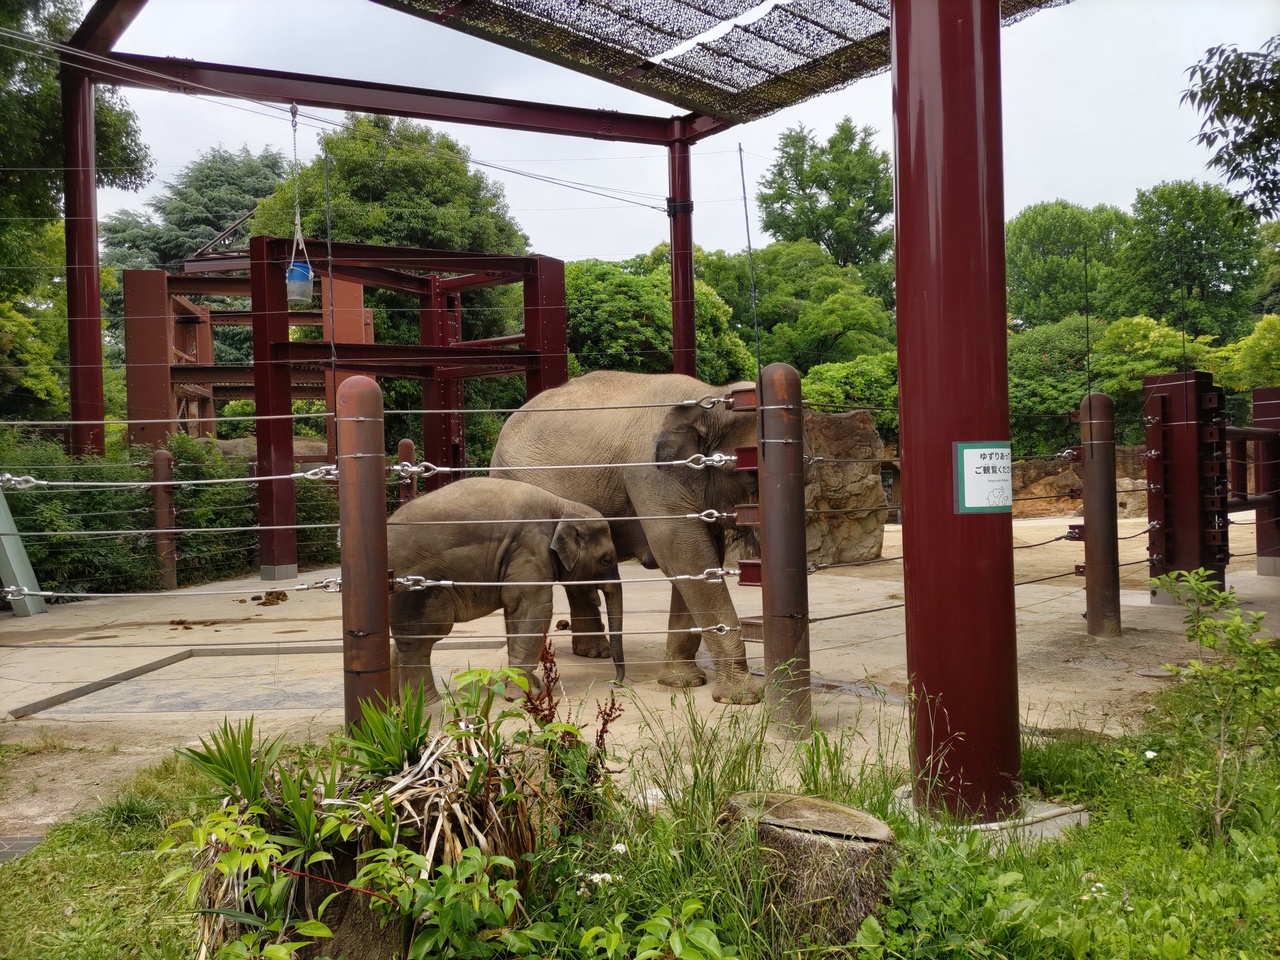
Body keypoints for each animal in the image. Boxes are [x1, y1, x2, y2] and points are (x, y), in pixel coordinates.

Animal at [386, 476, 623, 702]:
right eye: (606, 560)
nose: (615, 682)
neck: (562, 505)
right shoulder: (531, 548)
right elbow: (533, 607)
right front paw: (520, 695)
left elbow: (515, 613)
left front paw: (525, 686)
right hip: (414, 589)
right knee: (419, 640)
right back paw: (430, 705)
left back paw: (397, 704)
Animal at [490, 370, 762, 704]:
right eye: (748, 474)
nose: (618, 685)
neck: (709, 398)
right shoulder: (652, 474)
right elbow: (681, 550)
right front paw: (741, 698)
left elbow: (698, 556)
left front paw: (681, 683)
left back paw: (594, 653)